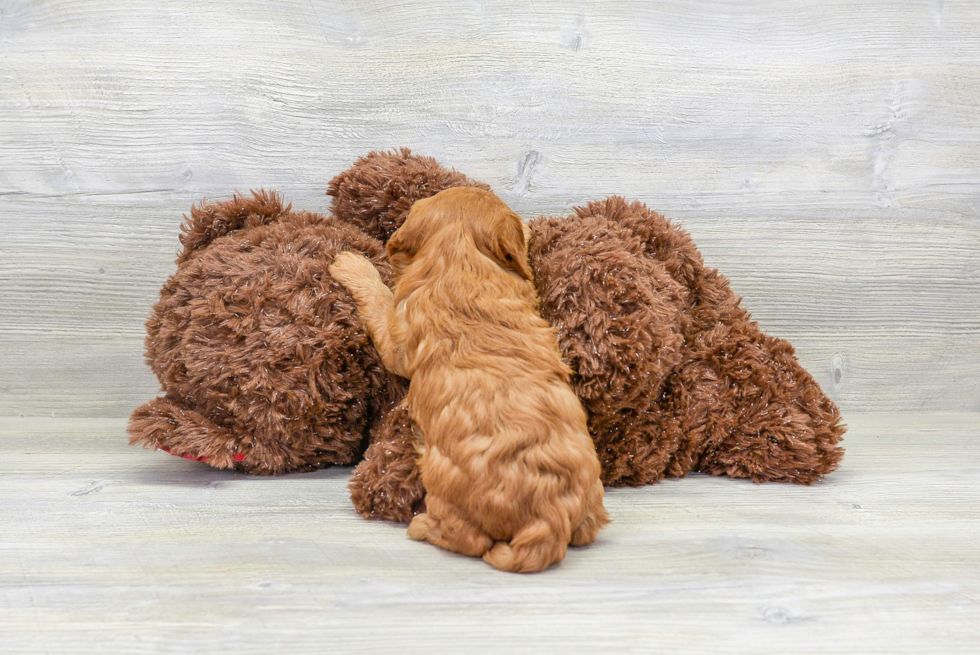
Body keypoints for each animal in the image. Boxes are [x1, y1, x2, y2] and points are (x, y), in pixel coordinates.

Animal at [330, 187, 604, 572]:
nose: (530, 226)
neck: (462, 261)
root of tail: (548, 517)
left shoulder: (396, 334)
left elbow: (380, 299)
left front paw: (351, 263)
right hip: (591, 499)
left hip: (445, 489)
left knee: (469, 540)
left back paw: (423, 527)